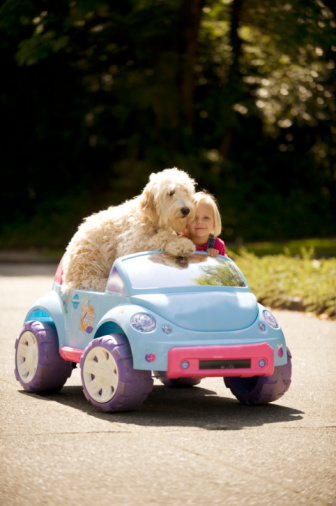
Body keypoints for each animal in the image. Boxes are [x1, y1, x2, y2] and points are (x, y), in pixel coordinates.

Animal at [61, 167, 196, 292]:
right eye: (171, 193)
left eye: (186, 192)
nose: (186, 210)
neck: (147, 217)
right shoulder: (130, 246)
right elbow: (157, 239)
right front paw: (182, 244)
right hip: (89, 262)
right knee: (91, 280)